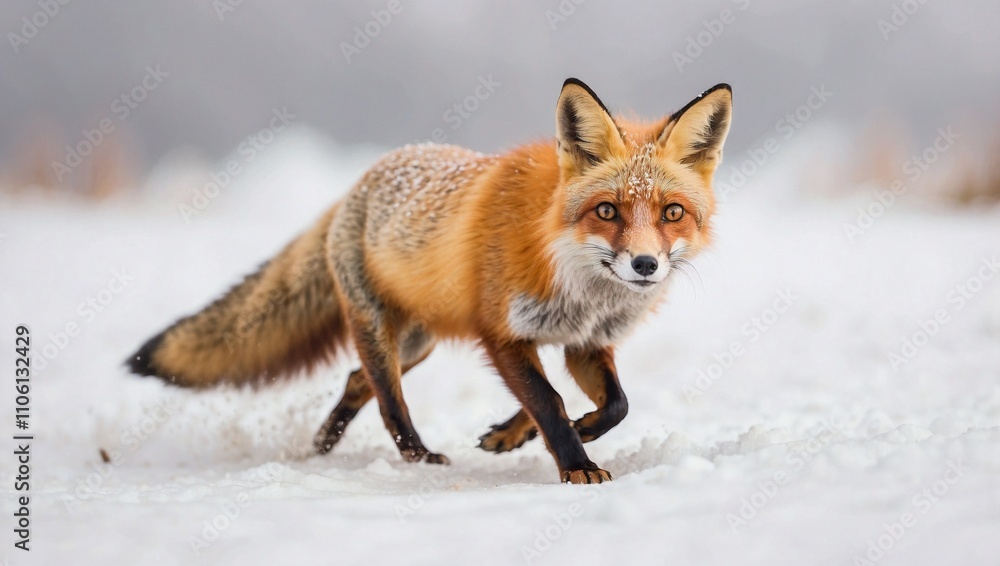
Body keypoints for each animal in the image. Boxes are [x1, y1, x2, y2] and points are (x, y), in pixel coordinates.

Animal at [128, 78, 732, 484]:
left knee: (357, 381)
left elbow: (614, 406)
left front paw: (528, 433)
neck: (576, 280)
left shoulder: (585, 343)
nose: (645, 265)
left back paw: (323, 443)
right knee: (387, 397)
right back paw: (416, 456)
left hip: (418, 341)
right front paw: (575, 463)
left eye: (672, 213)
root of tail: (358, 183)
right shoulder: (502, 333)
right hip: (378, 329)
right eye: (607, 211)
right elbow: (549, 401)